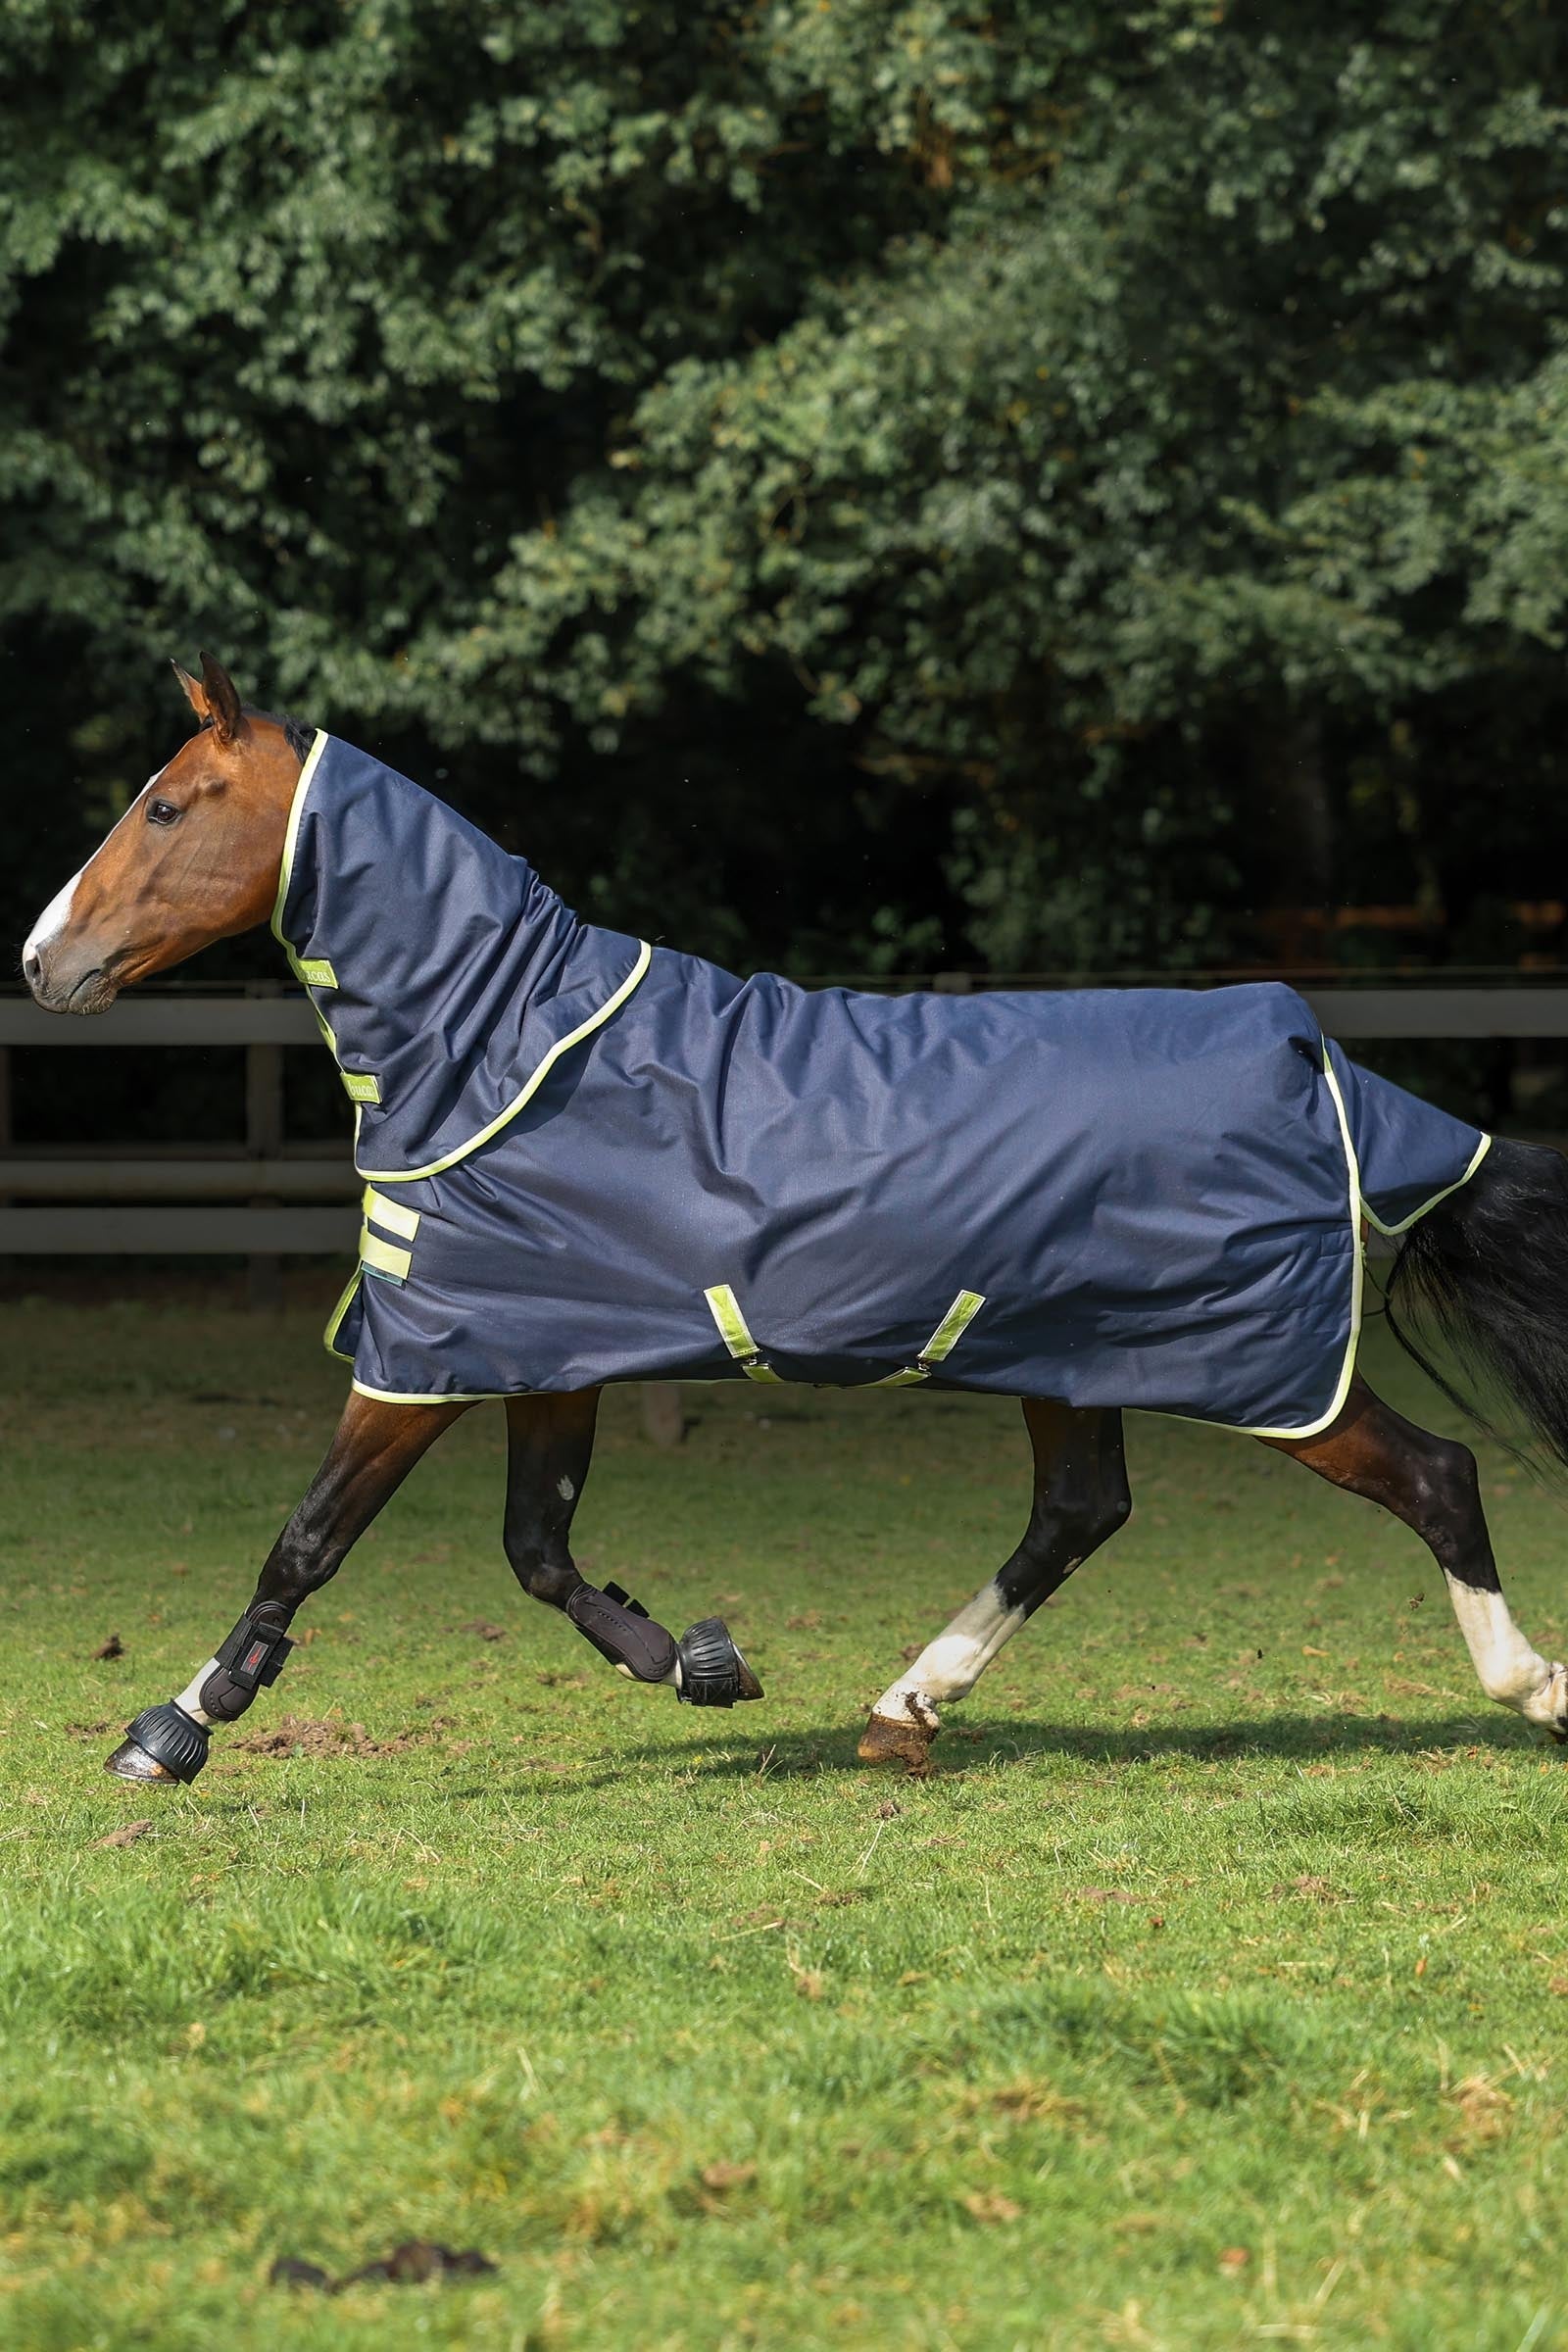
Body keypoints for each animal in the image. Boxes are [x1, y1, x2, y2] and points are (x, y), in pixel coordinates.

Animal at [21, 654, 1568, 1786]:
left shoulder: (429, 1359)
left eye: (168, 807)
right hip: (1072, 1358)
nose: (44, 960)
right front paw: (693, 1661)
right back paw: (905, 1708)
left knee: (1434, 1479)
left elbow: (310, 1538)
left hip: (1256, 1369)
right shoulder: (545, 1351)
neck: (502, 1044)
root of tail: (1311, 1049)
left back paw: (1535, 1690)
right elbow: (537, 1550)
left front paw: (177, 1727)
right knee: (1078, 1514)